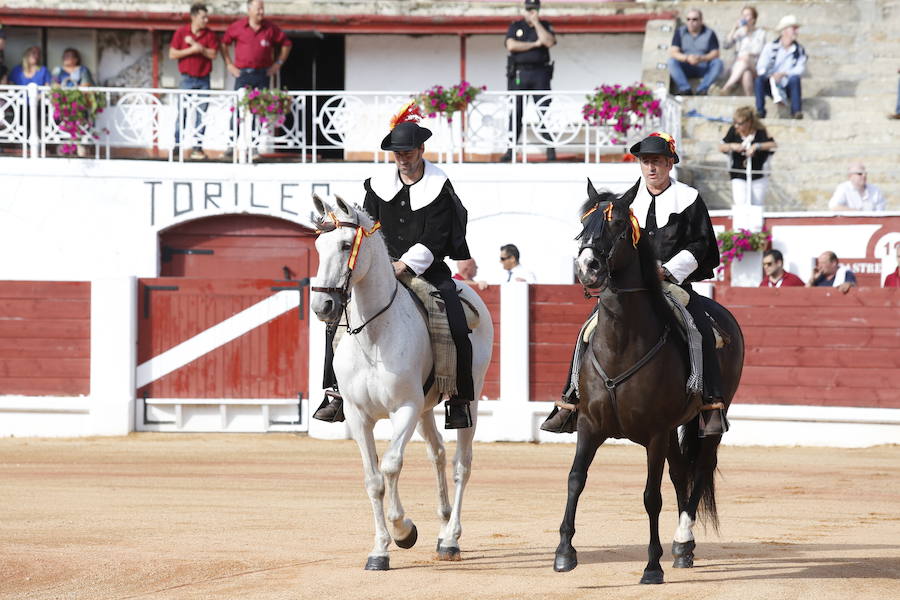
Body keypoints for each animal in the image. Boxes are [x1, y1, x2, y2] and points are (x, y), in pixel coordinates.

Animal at [308, 195, 492, 568]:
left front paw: (403, 530)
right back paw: (442, 526)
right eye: (318, 246)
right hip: (424, 410)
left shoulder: (404, 408)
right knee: (437, 454)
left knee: (461, 465)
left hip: (469, 399)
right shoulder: (358, 415)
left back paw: (451, 538)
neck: (375, 335)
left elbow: (391, 466)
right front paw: (379, 550)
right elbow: (373, 478)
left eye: (346, 244)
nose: (323, 306)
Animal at [556, 185, 744, 584]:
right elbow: (576, 478)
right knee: (680, 471)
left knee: (699, 469)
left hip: (707, 421)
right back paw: (684, 548)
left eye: (617, 226)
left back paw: (683, 538)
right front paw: (564, 552)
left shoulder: (655, 433)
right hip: (673, 427)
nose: (588, 267)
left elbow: (650, 496)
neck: (621, 343)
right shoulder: (589, 425)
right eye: (584, 225)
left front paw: (652, 566)